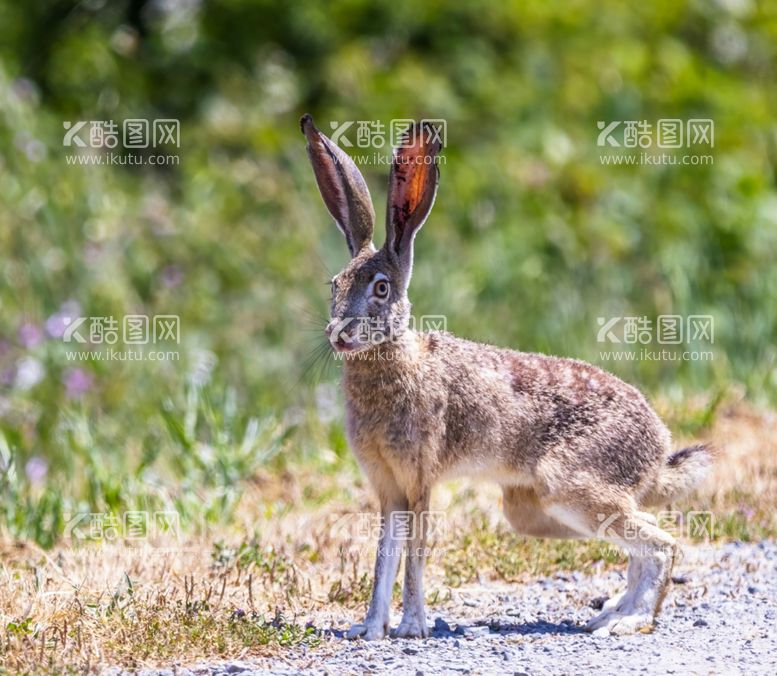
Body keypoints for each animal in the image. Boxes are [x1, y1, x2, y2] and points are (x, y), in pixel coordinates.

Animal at [300, 115, 712, 640]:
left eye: (381, 289)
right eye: (334, 285)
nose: (338, 335)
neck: (393, 359)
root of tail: (657, 448)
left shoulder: (419, 478)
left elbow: (414, 553)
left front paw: (412, 627)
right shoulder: (388, 487)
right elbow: (384, 557)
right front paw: (369, 629)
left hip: (570, 485)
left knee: (662, 543)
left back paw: (628, 621)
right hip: (533, 510)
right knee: (642, 541)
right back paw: (610, 614)